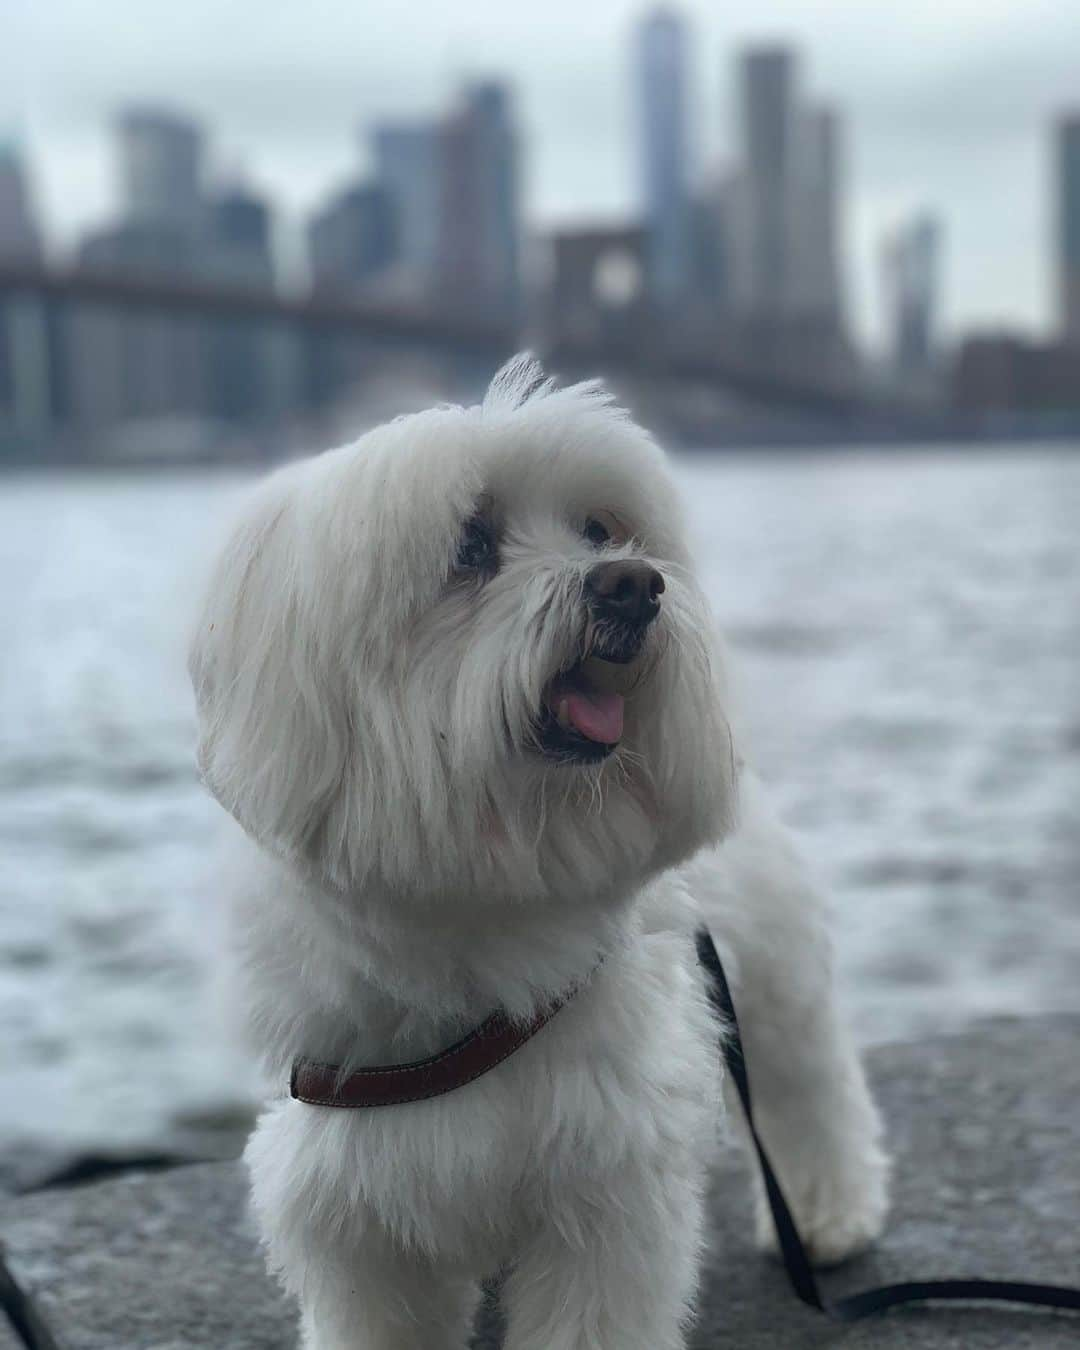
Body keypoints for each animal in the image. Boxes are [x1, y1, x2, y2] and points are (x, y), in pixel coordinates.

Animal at [190, 359, 891, 1350]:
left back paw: (830, 1214)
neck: (489, 896)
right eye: (470, 545)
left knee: (809, 1083)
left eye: (600, 528)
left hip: (773, 971)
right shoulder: (357, 1212)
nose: (634, 585)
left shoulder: (604, 1189)